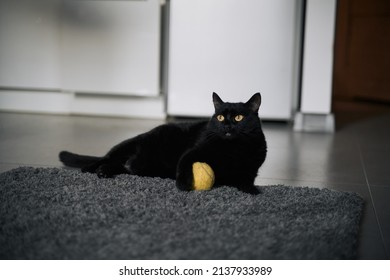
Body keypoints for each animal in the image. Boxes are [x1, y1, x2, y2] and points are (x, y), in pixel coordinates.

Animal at [60, 93, 268, 194]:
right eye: (220, 117)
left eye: (239, 117)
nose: (226, 125)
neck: (233, 149)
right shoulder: (192, 153)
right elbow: (184, 167)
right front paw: (184, 185)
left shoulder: (250, 170)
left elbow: (246, 180)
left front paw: (252, 191)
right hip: (128, 146)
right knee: (106, 157)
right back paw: (91, 168)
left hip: (140, 167)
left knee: (118, 165)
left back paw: (104, 171)